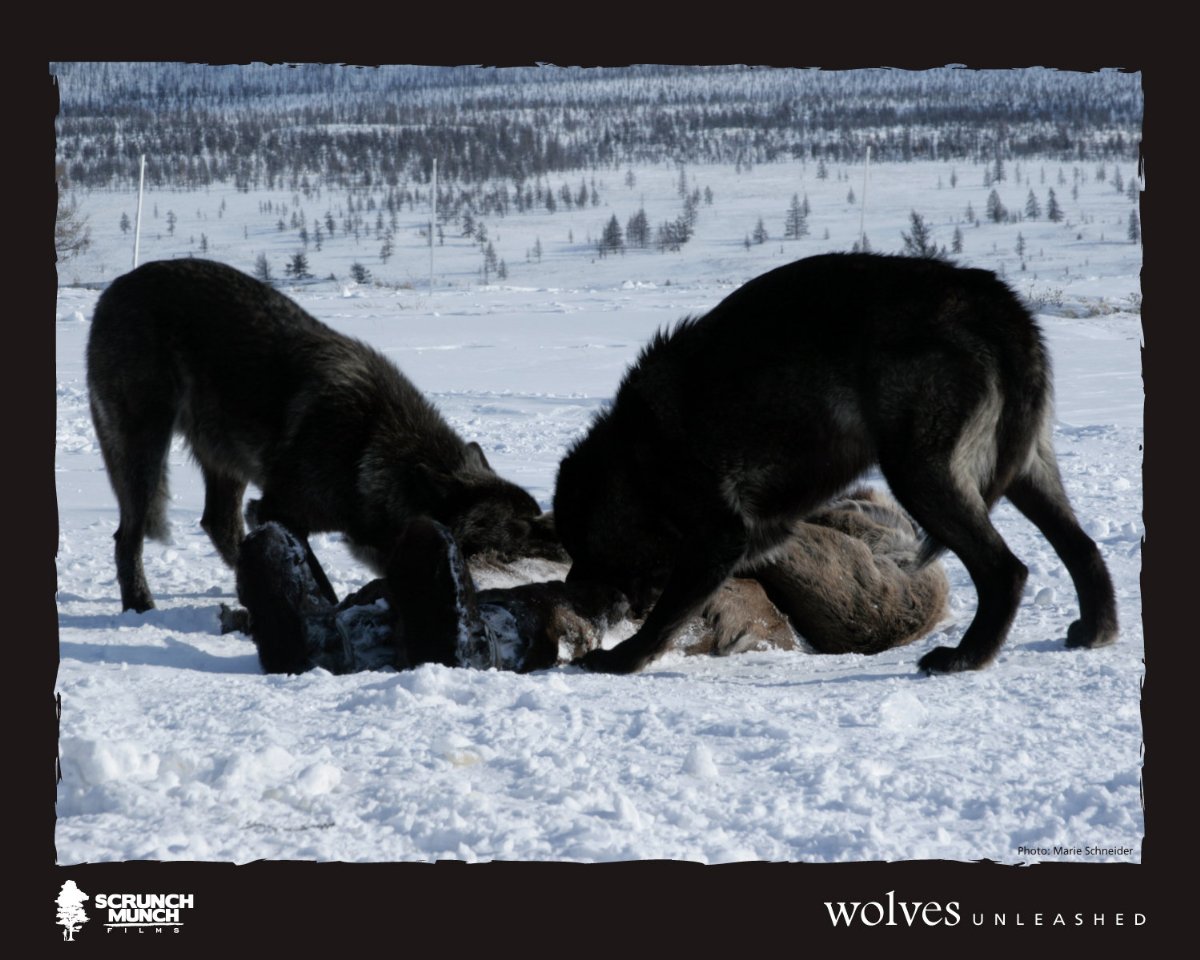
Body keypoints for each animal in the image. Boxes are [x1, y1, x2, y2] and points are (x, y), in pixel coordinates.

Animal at [87, 258, 559, 612]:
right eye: (520, 526)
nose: (564, 534)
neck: (372, 448)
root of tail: (115, 287)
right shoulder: (275, 510)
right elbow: (317, 578)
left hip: (224, 455)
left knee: (217, 522)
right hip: (145, 448)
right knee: (128, 537)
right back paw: (140, 605)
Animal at [554, 253, 1119, 675]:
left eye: (589, 551)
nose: (572, 596)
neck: (631, 461)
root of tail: (997, 302)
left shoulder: (718, 536)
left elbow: (666, 617)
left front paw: (620, 660)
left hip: (920, 473)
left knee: (1006, 571)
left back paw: (965, 658)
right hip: (1025, 469)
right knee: (1083, 547)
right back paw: (1096, 630)